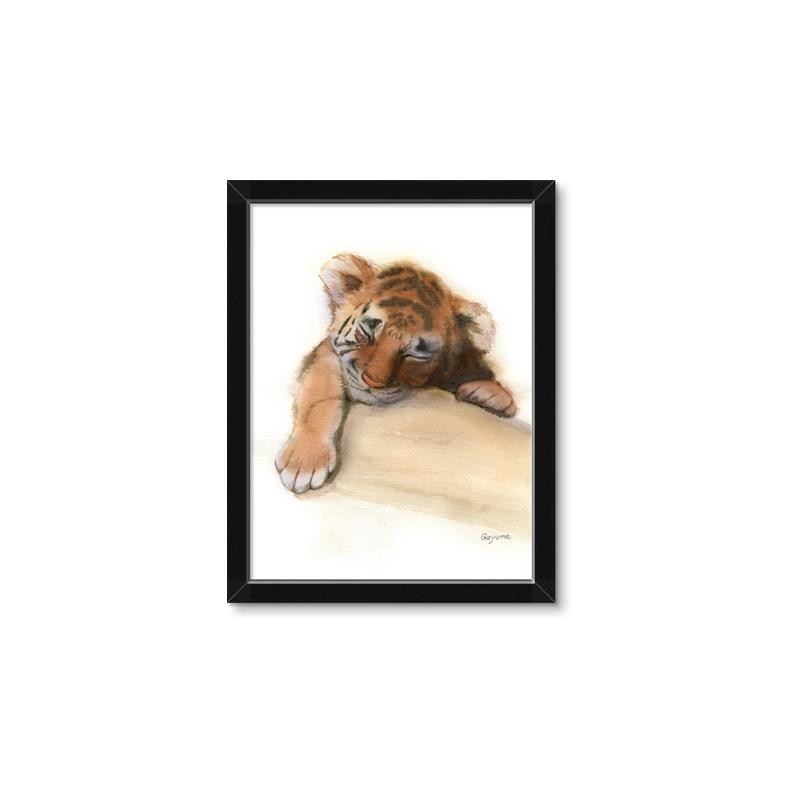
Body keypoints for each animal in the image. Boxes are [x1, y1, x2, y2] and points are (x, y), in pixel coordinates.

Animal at [275, 252, 517, 493]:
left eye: (416, 353)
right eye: (368, 331)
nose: (372, 382)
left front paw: (490, 392)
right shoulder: (326, 355)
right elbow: (319, 396)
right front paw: (304, 461)